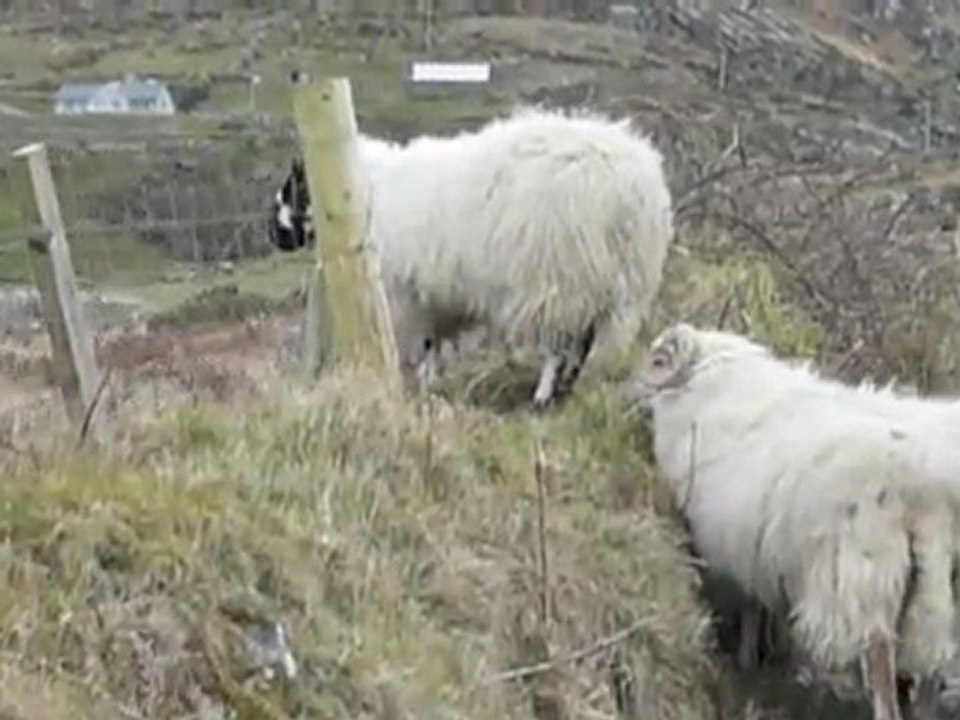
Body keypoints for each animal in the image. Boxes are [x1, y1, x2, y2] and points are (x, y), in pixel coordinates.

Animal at [268, 107, 674, 409]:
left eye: (294, 184)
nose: (274, 233)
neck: (365, 193)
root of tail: (632, 188)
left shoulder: (408, 293)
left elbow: (423, 345)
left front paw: (421, 385)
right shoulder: (433, 296)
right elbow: (432, 343)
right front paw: (431, 384)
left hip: (558, 276)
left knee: (561, 344)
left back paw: (544, 395)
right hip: (618, 283)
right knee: (584, 341)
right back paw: (569, 389)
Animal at [623, 322, 960, 720]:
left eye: (658, 361)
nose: (623, 395)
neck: (712, 391)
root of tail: (924, 493)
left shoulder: (739, 541)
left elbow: (750, 604)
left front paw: (747, 661)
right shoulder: (754, 546)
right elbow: (756, 605)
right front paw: (750, 661)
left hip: (865, 575)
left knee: (880, 659)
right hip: (924, 589)